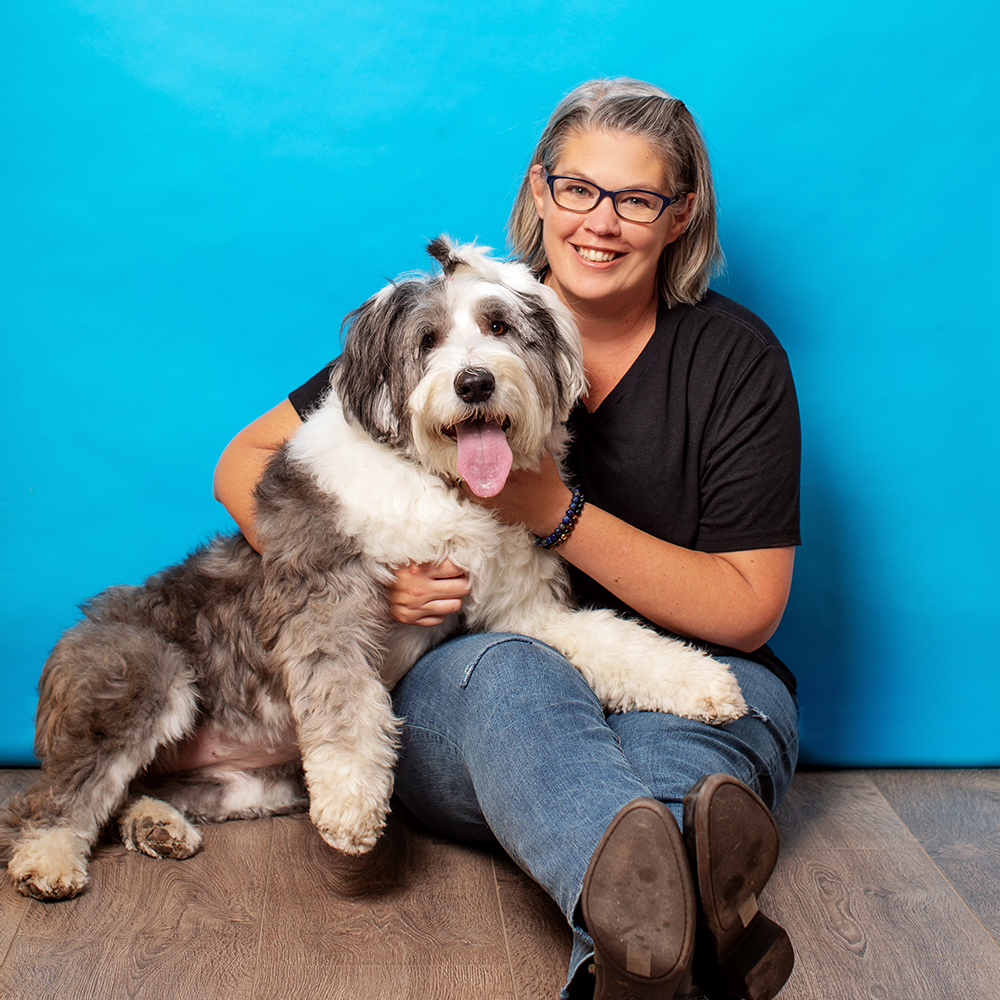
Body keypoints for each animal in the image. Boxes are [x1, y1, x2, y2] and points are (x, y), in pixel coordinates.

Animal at [5, 238, 744, 904]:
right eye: (428, 340)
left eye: (499, 326)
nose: (474, 382)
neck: (442, 486)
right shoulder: (326, 597)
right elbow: (345, 702)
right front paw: (353, 807)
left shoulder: (524, 609)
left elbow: (613, 639)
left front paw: (702, 681)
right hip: (139, 676)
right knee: (55, 797)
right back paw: (48, 860)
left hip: (252, 783)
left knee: (133, 792)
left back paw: (155, 824)